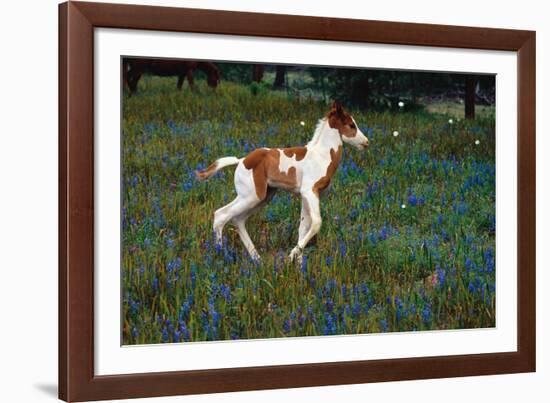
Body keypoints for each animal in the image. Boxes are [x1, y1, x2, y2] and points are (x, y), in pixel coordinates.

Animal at [196, 102, 374, 264]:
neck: (321, 156)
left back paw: (257, 259)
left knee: (238, 220)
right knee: (221, 215)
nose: (366, 142)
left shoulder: (308, 196)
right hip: (251, 195)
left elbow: (304, 227)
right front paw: (291, 255)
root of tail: (241, 161)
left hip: (264, 197)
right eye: (351, 125)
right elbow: (316, 223)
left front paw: (300, 267)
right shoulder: (310, 191)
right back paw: (221, 255)